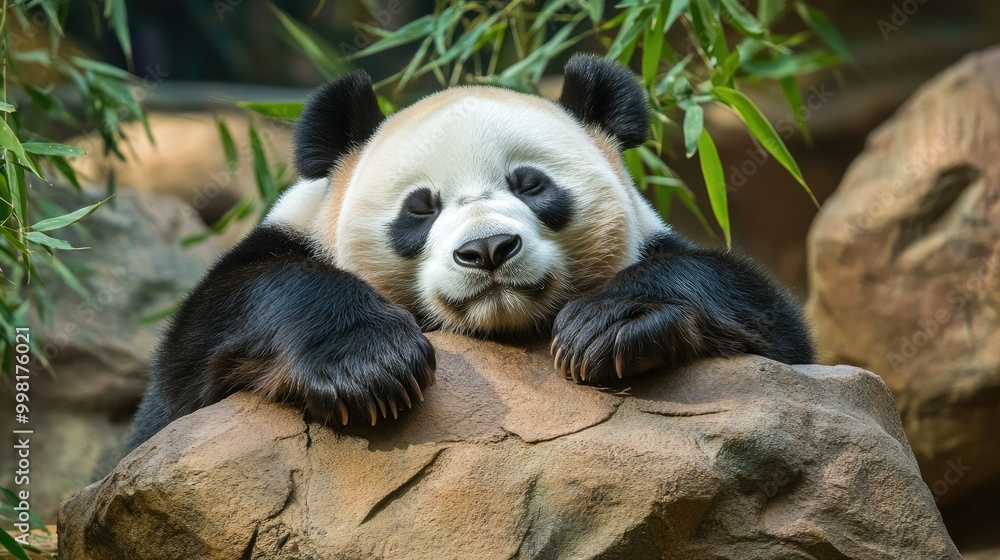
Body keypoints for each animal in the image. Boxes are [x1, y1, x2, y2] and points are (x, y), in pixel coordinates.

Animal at [127, 55, 813, 450]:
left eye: (530, 184)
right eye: (420, 207)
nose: (487, 249)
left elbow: (767, 321)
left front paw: (612, 326)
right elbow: (210, 333)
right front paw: (370, 366)